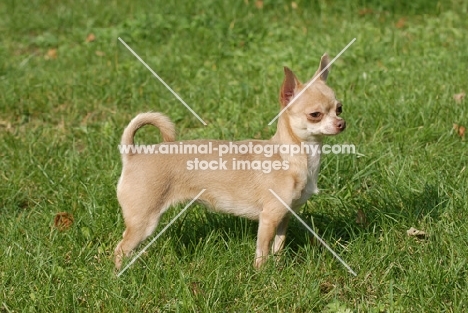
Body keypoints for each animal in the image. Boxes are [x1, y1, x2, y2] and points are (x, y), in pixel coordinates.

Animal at [115, 53, 346, 268]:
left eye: (339, 108)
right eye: (315, 114)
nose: (342, 123)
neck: (293, 155)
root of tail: (133, 153)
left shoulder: (284, 217)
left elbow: (278, 246)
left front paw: (279, 267)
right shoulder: (269, 218)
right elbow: (262, 251)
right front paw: (262, 274)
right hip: (144, 220)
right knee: (121, 248)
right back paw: (120, 275)